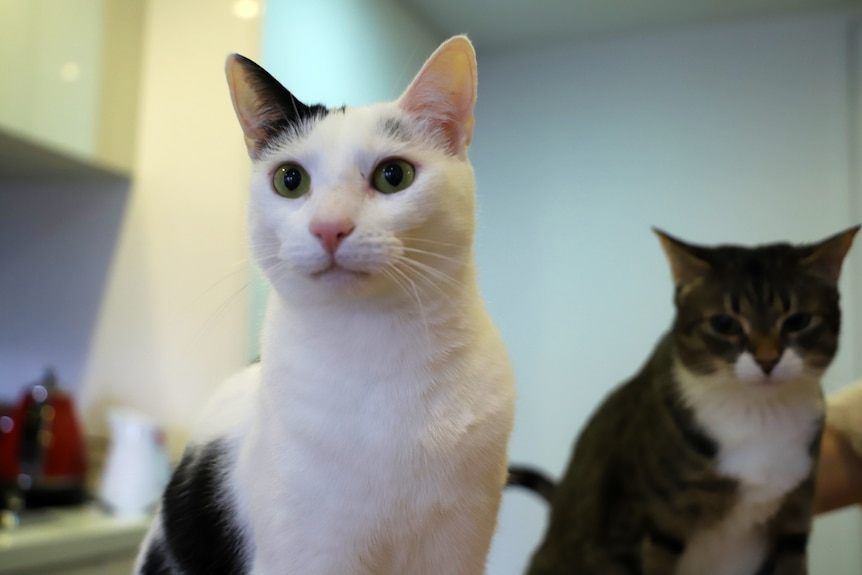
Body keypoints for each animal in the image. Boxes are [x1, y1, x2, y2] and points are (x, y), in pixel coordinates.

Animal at [132, 37, 516, 575]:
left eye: (393, 175)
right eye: (290, 180)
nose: (330, 227)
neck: (377, 351)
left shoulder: (458, 549)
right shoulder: (310, 551)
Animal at [528, 228, 856, 575]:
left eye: (798, 321)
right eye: (725, 323)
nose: (767, 361)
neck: (758, 413)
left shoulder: (793, 521)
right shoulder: (638, 527)